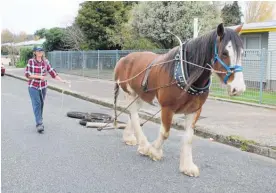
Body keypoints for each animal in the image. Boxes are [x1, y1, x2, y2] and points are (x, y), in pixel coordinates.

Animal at [112, 23, 246, 177]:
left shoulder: (195, 110)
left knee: (132, 113)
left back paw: (130, 138)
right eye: (224, 53)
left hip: (140, 96)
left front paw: (187, 166)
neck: (186, 72)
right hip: (129, 92)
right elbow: (165, 133)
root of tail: (123, 59)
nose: (238, 88)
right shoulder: (167, 108)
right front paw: (154, 151)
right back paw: (144, 145)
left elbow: (188, 138)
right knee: (134, 115)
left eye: (242, 53)